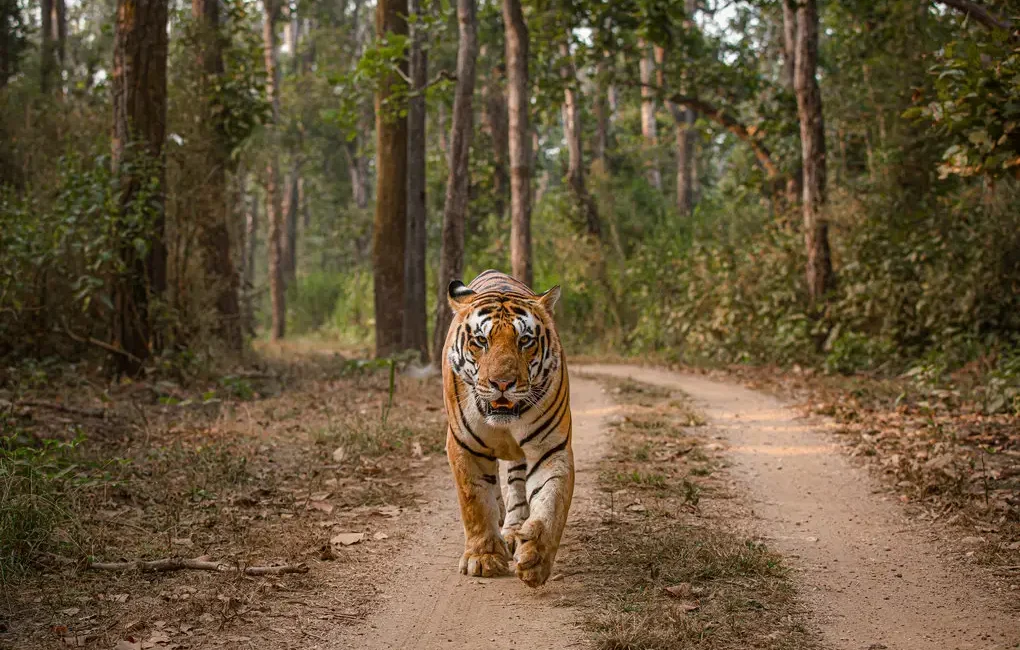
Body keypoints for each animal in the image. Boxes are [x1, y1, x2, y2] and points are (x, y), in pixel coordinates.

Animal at [440, 269, 575, 587]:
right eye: (481, 340)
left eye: (524, 340)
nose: (502, 383)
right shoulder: (464, 446)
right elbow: (476, 501)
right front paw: (483, 557)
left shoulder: (551, 448)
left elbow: (551, 501)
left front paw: (536, 556)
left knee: (516, 483)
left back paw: (514, 529)